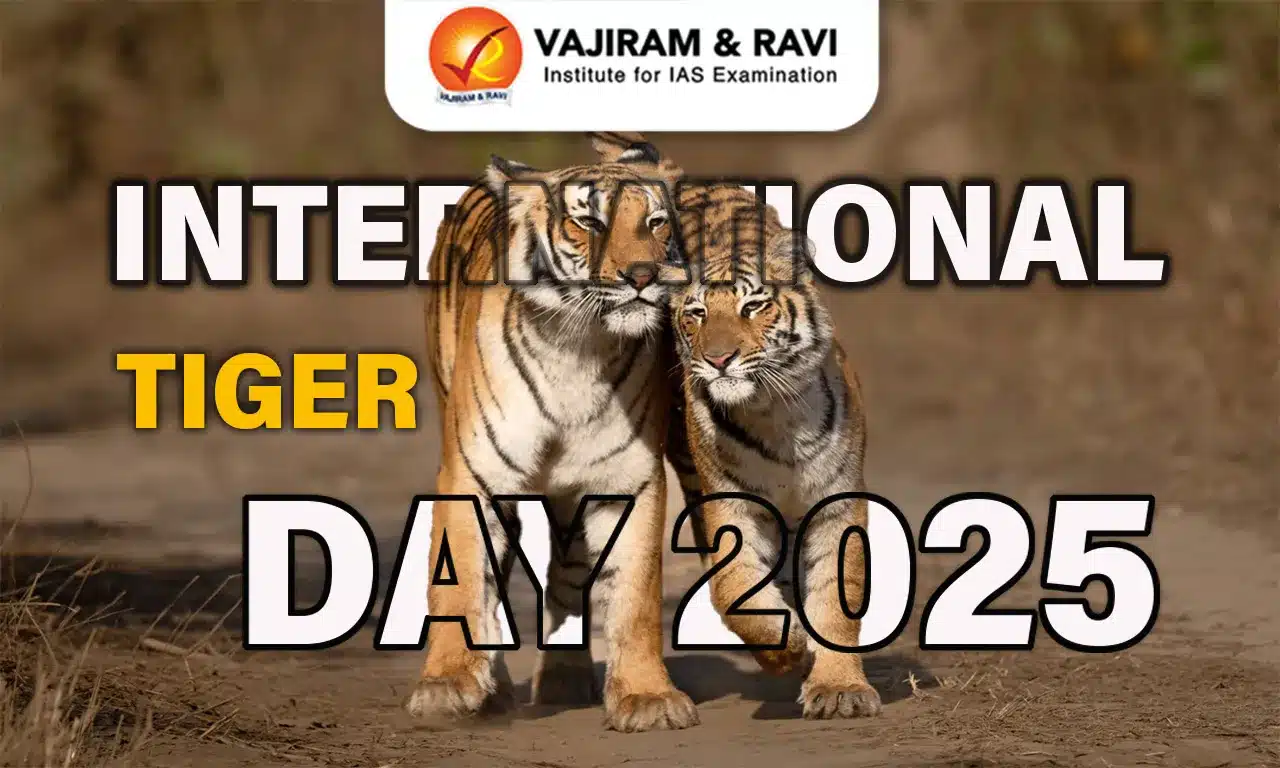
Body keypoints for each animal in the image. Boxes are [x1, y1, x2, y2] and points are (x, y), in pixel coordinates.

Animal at [412, 135, 698, 733]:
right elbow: (461, 580)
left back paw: (564, 681)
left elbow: (635, 594)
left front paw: (647, 697)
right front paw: (447, 685)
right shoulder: (472, 474)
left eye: (656, 222)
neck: (578, 345)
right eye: (588, 222)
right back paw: (493, 689)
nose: (643, 274)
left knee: (568, 573)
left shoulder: (628, 479)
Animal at [589, 135, 883, 720]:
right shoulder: (730, 504)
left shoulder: (837, 503)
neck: (774, 414)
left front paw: (839, 689)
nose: (719, 359)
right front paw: (785, 648)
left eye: (754, 306)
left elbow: (837, 598)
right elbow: (733, 588)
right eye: (697, 314)